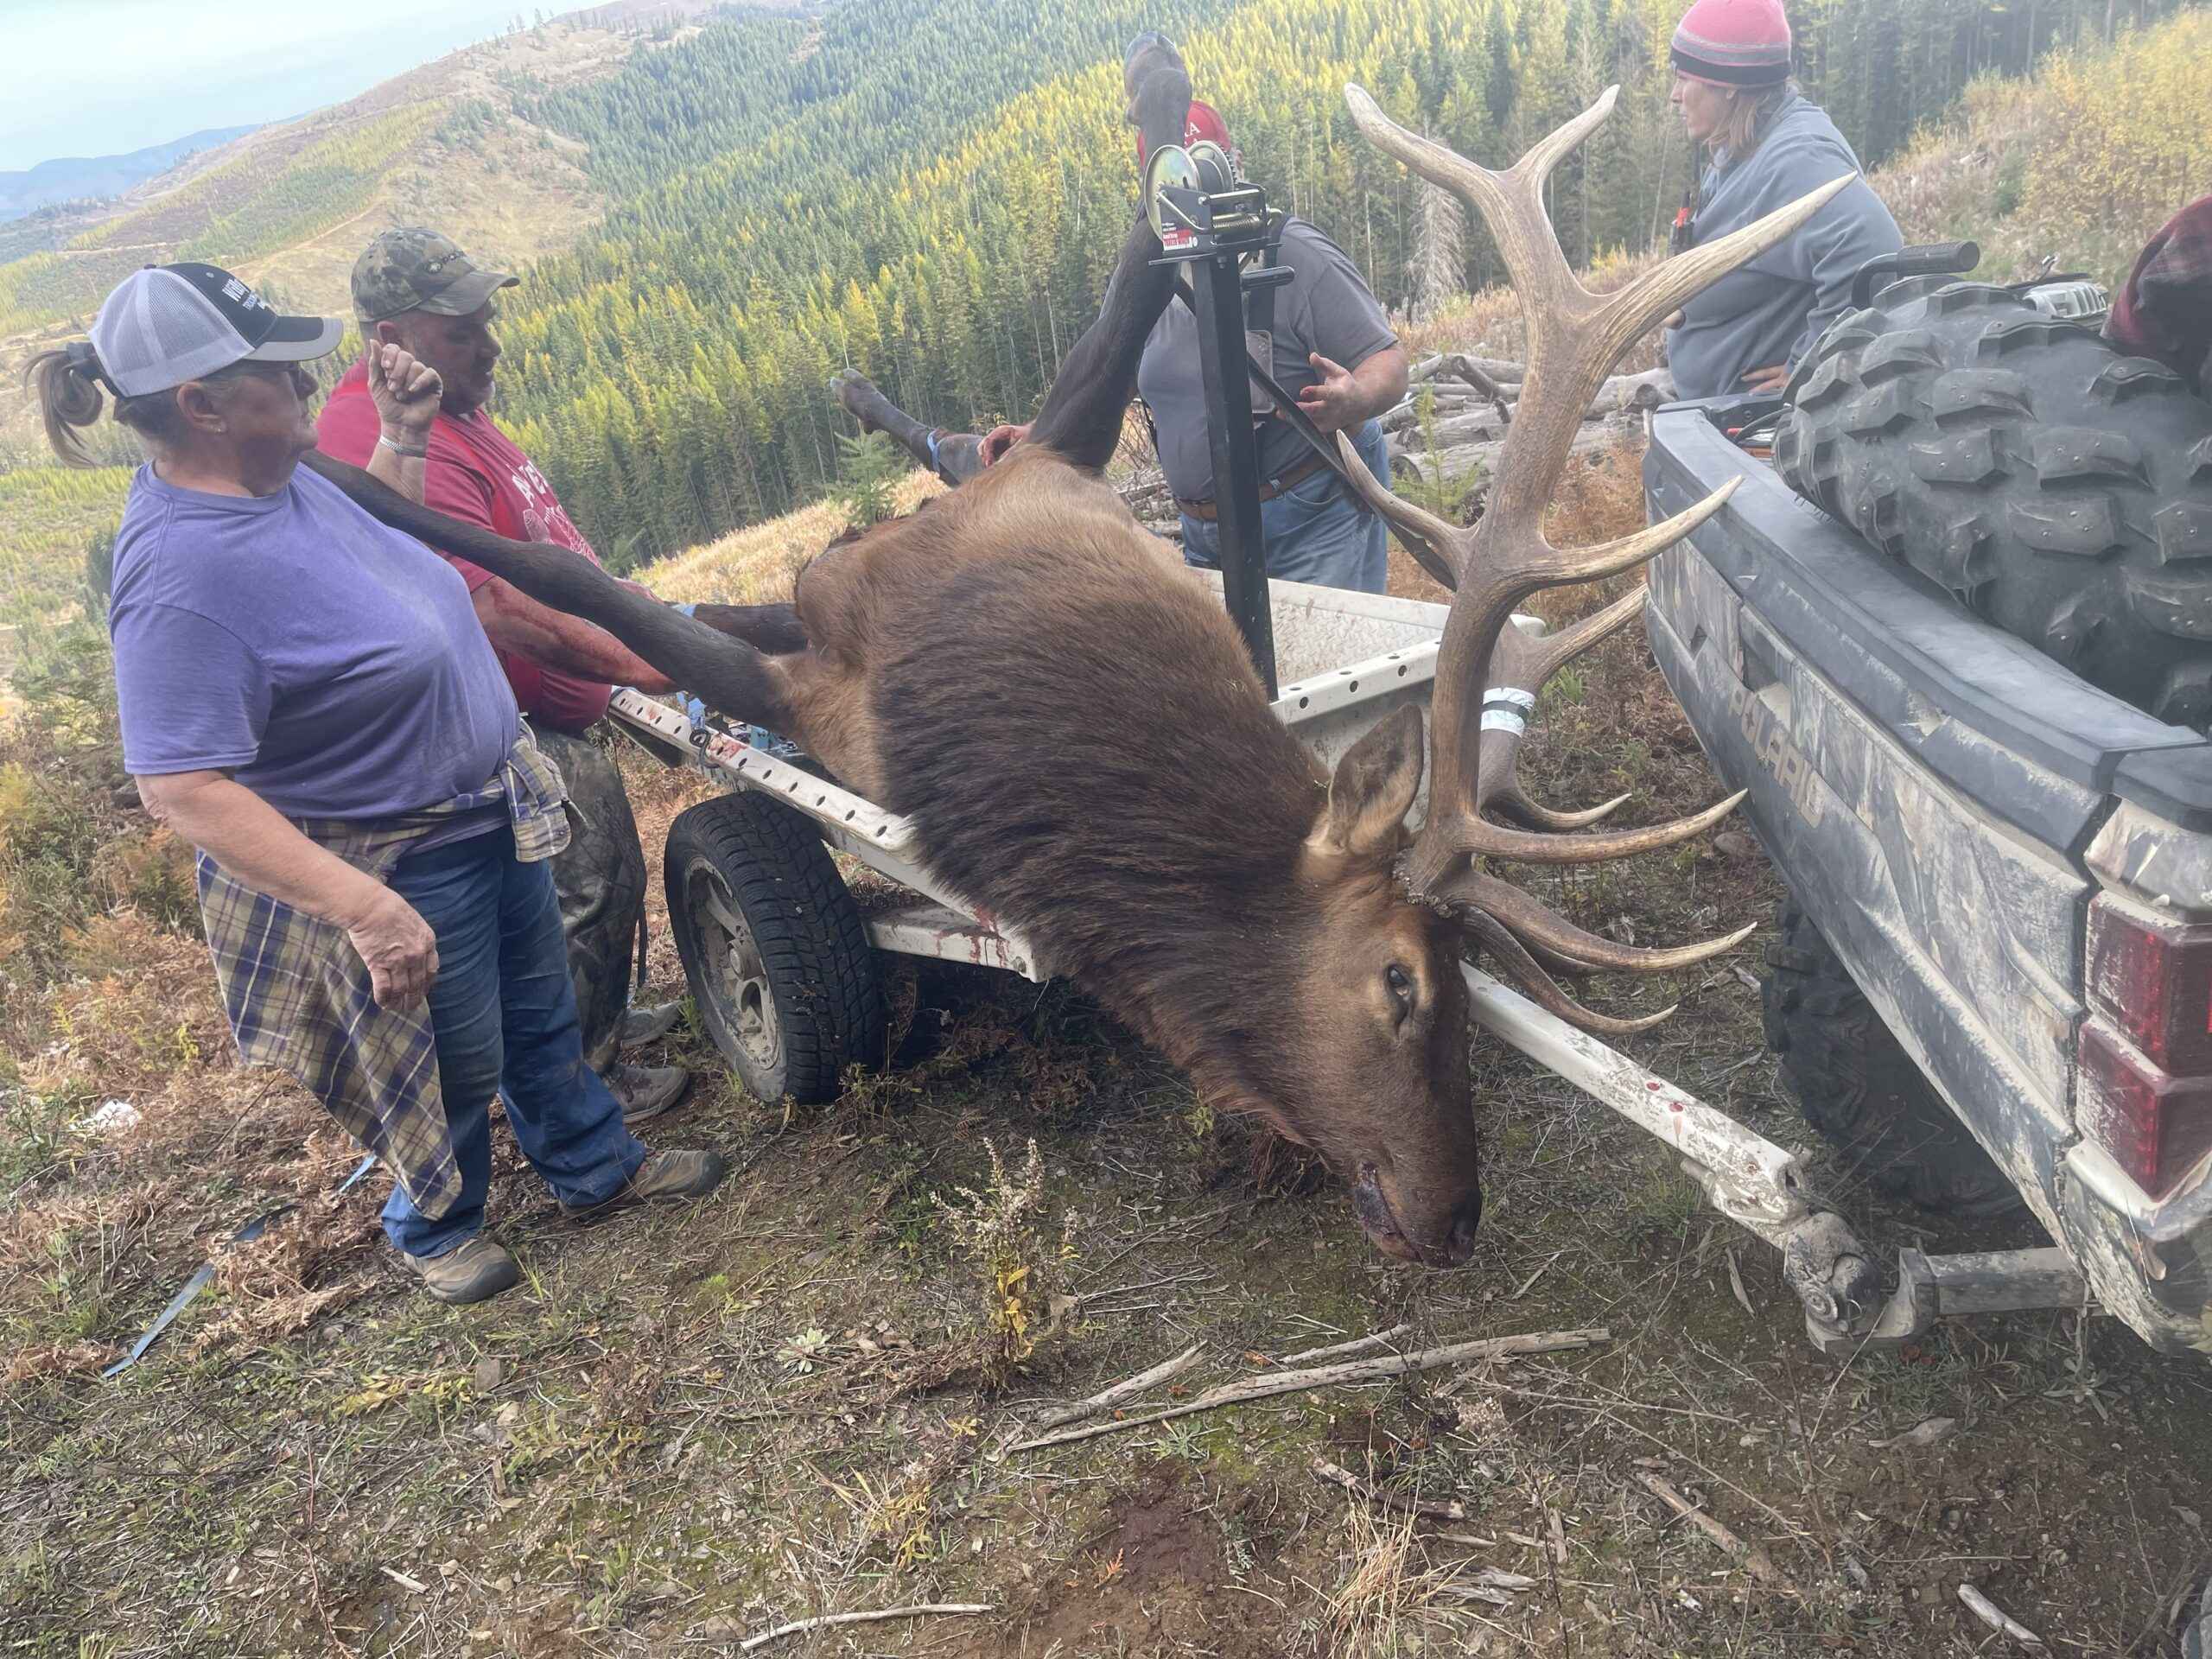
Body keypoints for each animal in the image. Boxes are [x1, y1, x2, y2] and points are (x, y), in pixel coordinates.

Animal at [302, 71, 1840, 1265]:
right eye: (1402, 982)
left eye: (1466, 985)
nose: (1457, 1219)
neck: (1024, 751)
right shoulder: (812, 684)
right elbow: (584, 587)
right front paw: (351, 477)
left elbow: (640, 602)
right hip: (1018, 465)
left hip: (1052, 442)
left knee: (1096, 314)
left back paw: (1157, 133)